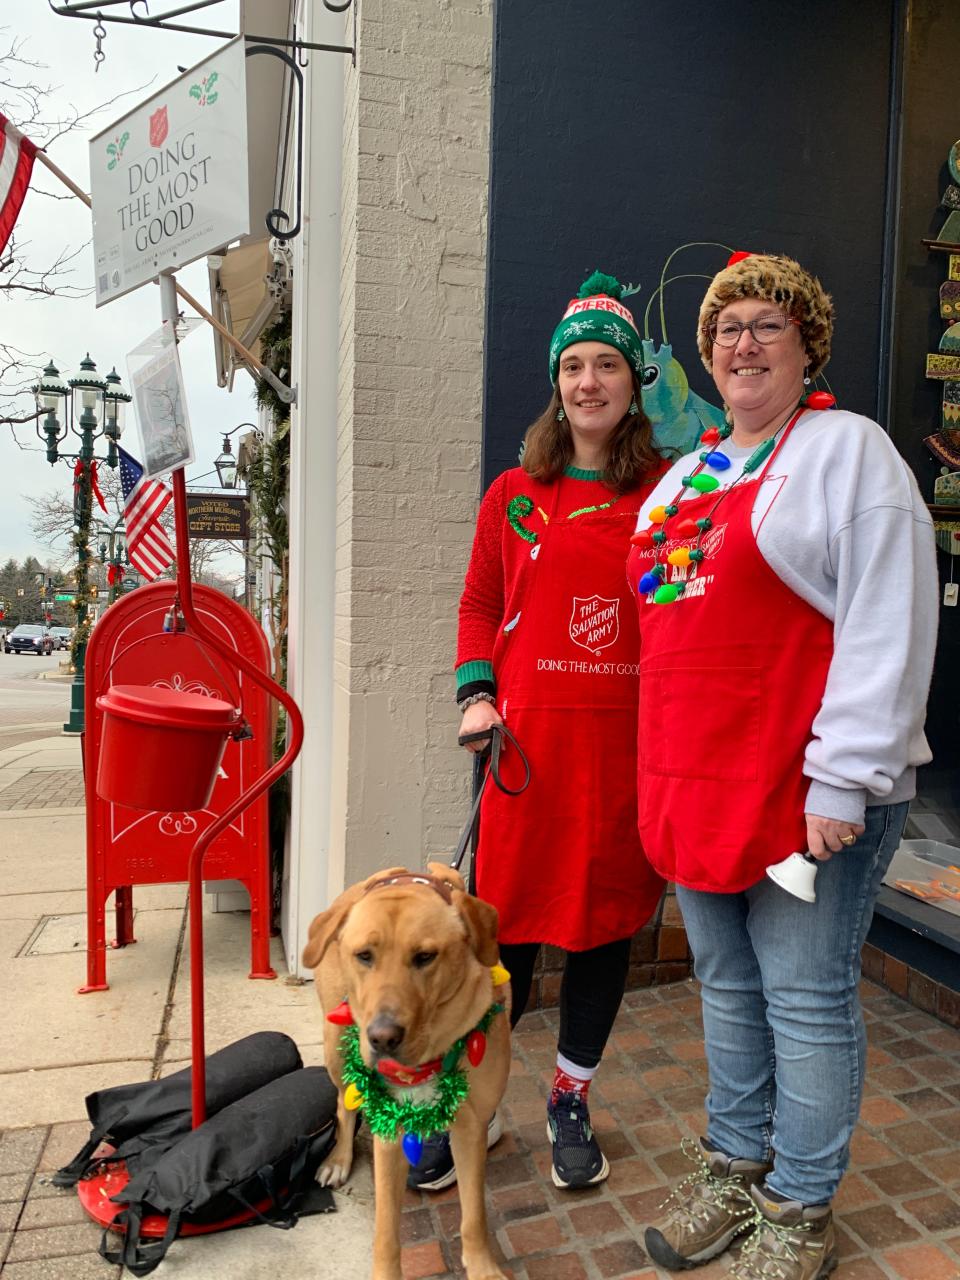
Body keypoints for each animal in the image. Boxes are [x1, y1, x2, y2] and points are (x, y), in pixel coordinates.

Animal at [304, 860, 514, 1280]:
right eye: (364, 955)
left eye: (425, 956)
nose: (383, 1038)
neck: (429, 1053)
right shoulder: (389, 1129)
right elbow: (386, 1230)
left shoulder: (471, 1127)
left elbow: (474, 1215)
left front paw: (482, 1266)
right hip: (335, 1043)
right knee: (344, 1105)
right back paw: (338, 1160)